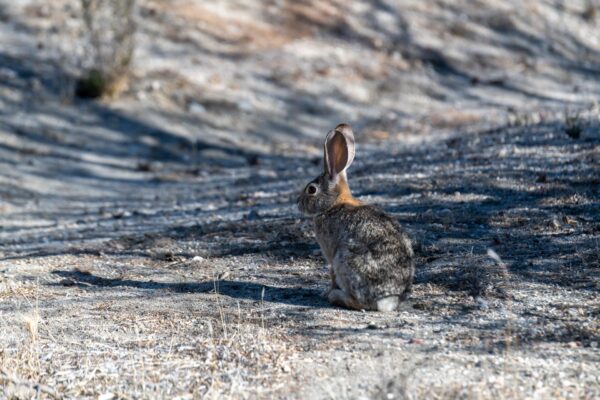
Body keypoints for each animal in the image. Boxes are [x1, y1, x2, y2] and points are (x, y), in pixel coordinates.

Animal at [298, 123, 414, 310]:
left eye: (311, 189)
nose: (298, 203)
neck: (334, 203)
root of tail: (387, 300)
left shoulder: (331, 254)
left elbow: (331, 275)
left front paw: (325, 292)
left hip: (345, 260)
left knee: (358, 302)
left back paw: (334, 296)